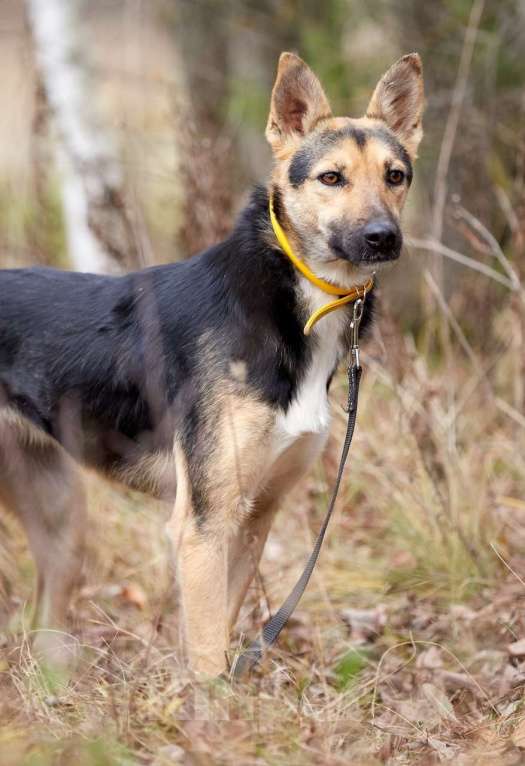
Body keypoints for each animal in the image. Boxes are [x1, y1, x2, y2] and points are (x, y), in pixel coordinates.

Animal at [0, 52, 422, 680]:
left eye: (395, 176)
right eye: (331, 178)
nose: (383, 238)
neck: (291, 306)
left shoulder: (252, 520)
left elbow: (221, 640)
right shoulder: (202, 526)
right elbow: (205, 659)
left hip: (62, 523)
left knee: (42, 623)